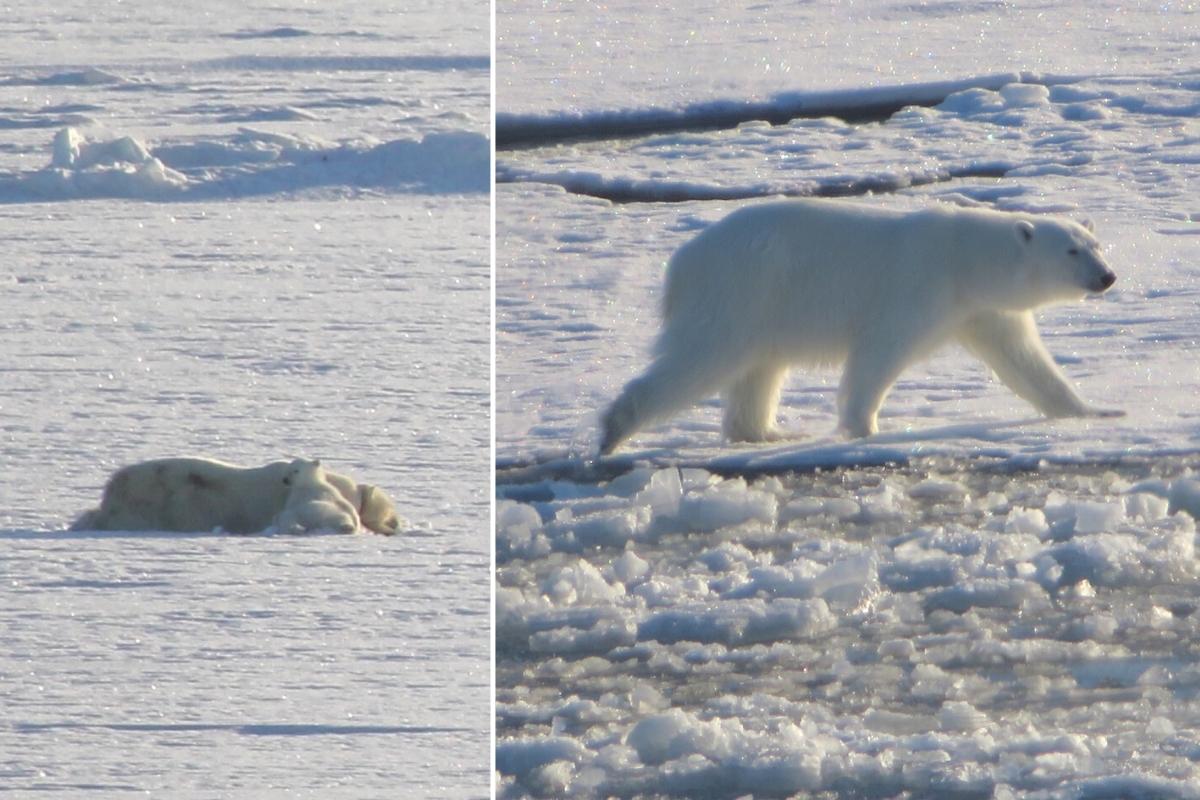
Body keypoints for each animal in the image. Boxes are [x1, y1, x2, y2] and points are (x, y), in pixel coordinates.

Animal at [604, 197, 1118, 453]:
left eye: (1096, 245)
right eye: (1071, 250)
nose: (1107, 277)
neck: (964, 258)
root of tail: (681, 262)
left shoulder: (980, 309)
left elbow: (1025, 360)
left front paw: (1093, 412)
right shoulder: (918, 286)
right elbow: (880, 352)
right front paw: (863, 427)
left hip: (762, 306)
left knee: (759, 369)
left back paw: (766, 432)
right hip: (742, 290)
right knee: (703, 356)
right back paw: (614, 429)